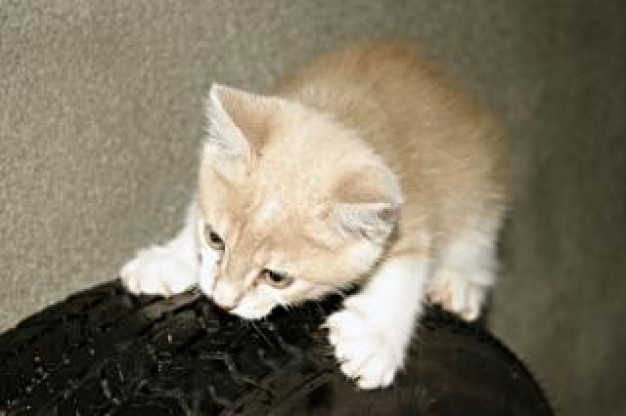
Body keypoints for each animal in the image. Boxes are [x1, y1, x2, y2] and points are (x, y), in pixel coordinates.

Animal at [120, 42, 508, 390]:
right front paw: (167, 259)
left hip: (479, 183)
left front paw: (373, 339)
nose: (223, 301)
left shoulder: (409, 208)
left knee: (479, 233)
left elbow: (408, 265)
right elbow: (196, 211)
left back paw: (459, 282)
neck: (347, 117)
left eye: (276, 277)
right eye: (215, 239)